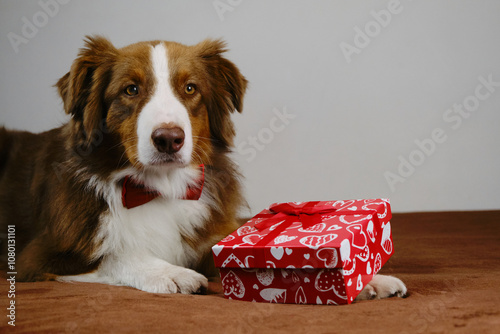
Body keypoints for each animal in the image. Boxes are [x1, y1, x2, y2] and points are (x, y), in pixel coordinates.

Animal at [0, 37, 406, 300]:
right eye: (130, 90)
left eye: (191, 88)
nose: (168, 139)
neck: (157, 189)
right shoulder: (39, 256)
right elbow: (117, 254)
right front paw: (172, 272)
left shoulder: (209, 235)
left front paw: (368, 279)